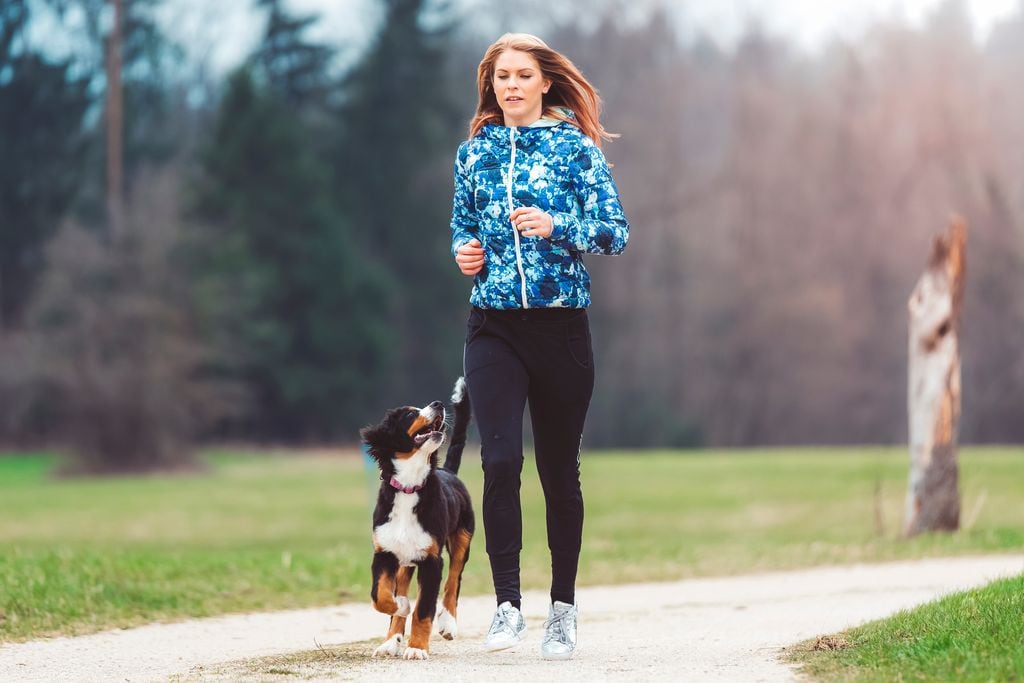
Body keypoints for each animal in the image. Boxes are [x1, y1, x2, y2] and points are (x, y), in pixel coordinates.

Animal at [358, 376, 473, 659]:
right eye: (410, 414)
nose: (438, 404)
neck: (409, 487)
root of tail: (448, 472)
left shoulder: (432, 560)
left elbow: (423, 609)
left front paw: (418, 648)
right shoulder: (384, 553)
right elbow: (380, 596)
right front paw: (400, 606)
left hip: (462, 537)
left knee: (454, 580)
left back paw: (448, 624)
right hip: (404, 560)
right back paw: (390, 642)